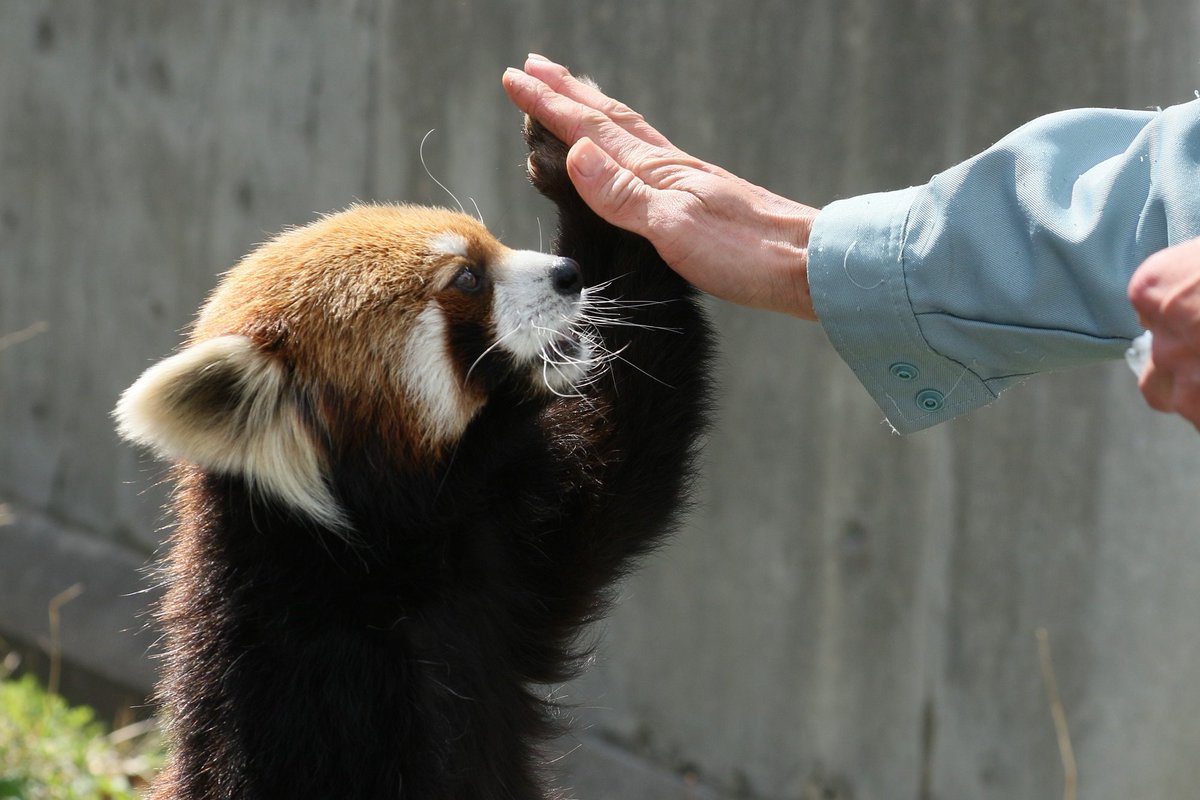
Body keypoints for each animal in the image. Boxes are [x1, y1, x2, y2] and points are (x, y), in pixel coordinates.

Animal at [113, 107, 710, 800]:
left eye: (490, 245)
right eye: (469, 278)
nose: (568, 273)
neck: (385, 551)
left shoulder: (506, 560)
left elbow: (630, 449)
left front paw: (581, 164)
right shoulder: (306, 685)